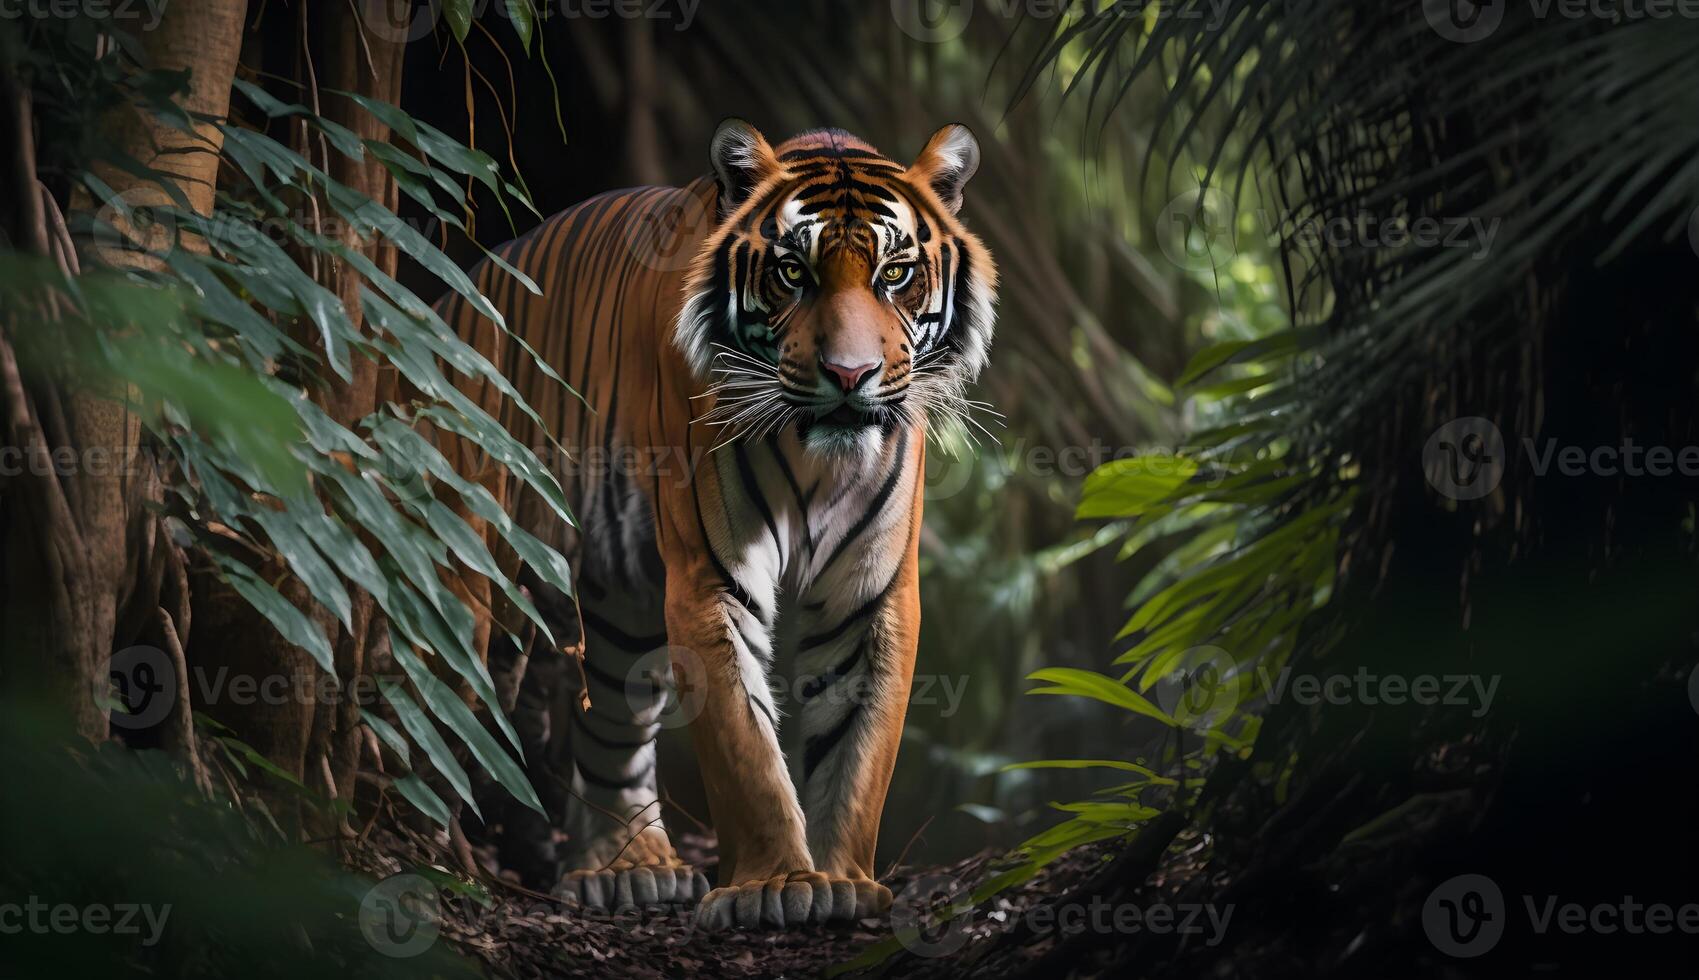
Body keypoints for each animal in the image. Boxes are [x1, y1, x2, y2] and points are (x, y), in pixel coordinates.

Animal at [431, 118, 999, 930]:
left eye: (895, 274)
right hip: (480, 569)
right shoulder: (710, 580)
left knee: (608, 722)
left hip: (620, 601)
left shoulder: (871, 593)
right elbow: (744, 746)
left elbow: (858, 750)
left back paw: (626, 866)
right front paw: (776, 886)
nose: (850, 376)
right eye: (793, 272)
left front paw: (844, 881)